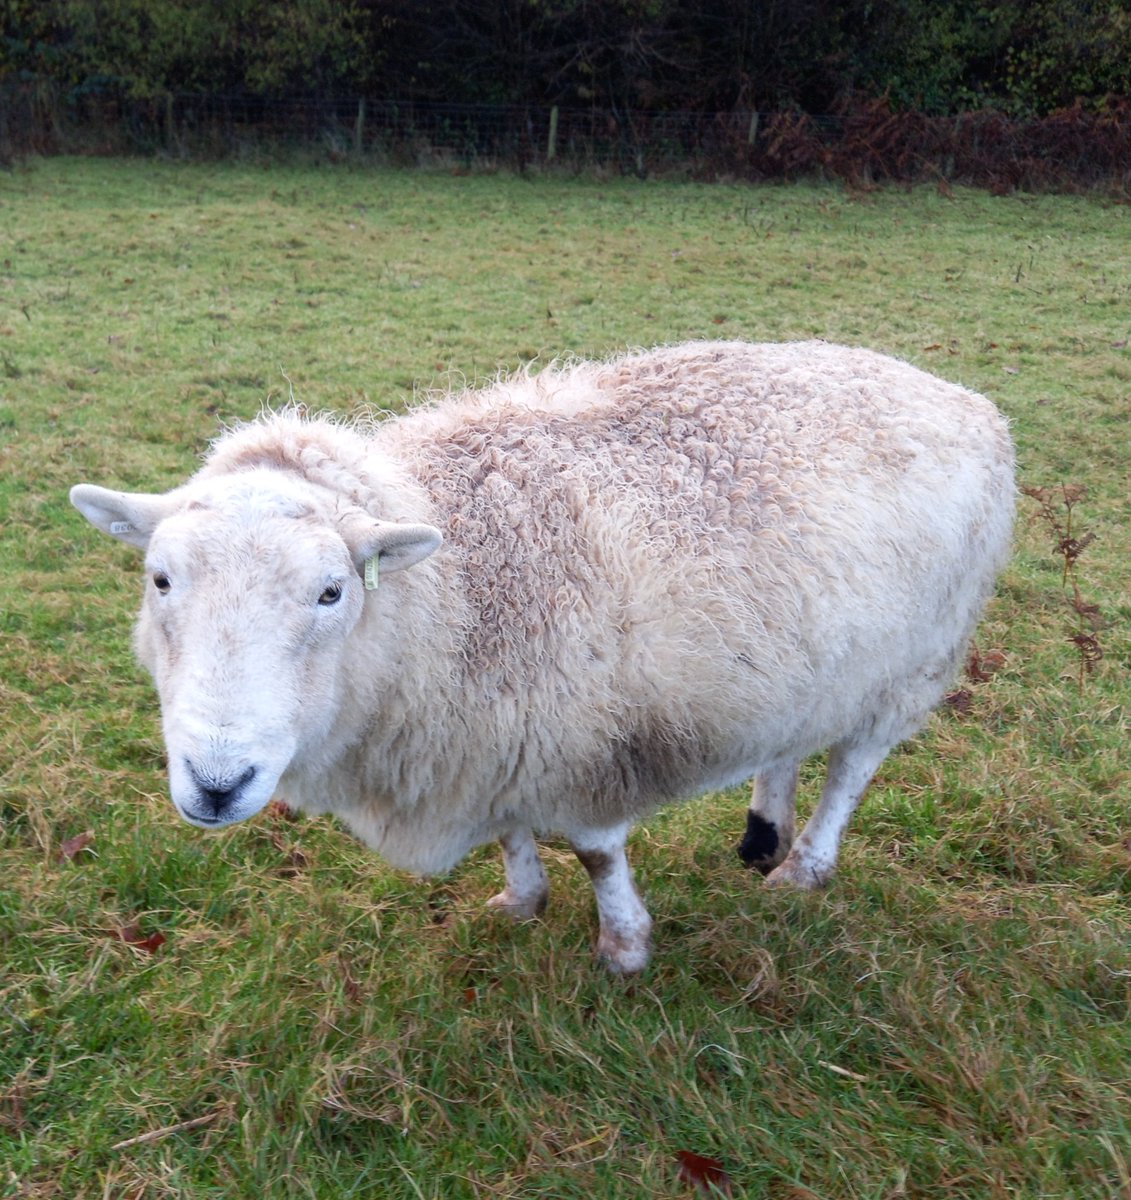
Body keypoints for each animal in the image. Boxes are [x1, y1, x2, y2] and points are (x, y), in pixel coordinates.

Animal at [70, 340, 1013, 974]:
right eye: (160, 579)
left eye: (332, 593)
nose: (215, 783)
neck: (456, 595)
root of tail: (959, 394)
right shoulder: (491, 730)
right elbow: (512, 832)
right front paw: (520, 901)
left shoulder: (582, 734)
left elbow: (596, 852)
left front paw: (623, 949)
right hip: (812, 655)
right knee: (790, 745)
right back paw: (761, 834)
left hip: (911, 660)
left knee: (852, 766)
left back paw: (803, 867)